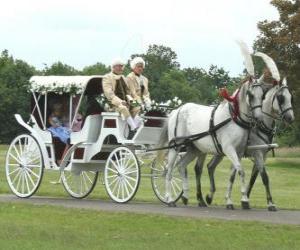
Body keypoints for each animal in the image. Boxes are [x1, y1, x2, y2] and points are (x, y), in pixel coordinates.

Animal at [157, 78, 264, 207]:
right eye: (251, 95)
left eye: (263, 95)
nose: (259, 118)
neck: (233, 118)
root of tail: (176, 110)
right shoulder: (229, 149)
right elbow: (241, 171)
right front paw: (244, 200)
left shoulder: (239, 152)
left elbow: (234, 173)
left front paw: (233, 200)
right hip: (175, 147)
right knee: (169, 170)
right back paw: (169, 198)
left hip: (194, 149)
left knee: (181, 165)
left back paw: (186, 196)